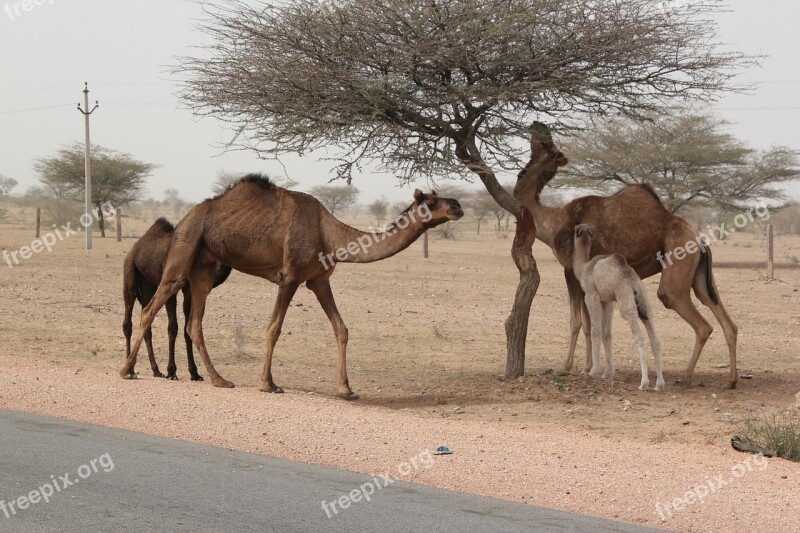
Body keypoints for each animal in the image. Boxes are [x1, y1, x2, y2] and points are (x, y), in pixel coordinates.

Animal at [121, 218, 231, 380]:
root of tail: (135, 247)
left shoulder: (189, 290)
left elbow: (187, 330)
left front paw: (194, 373)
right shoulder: (171, 287)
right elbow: (173, 328)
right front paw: (172, 371)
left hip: (148, 284)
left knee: (146, 322)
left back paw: (156, 370)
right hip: (130, 274)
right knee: (127, 322)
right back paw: (130, 370)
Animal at [572, 223, 664, 390]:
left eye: (574, 230)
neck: (583, 268)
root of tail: (634, 283)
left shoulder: (592, 295)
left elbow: (596, 331)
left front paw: (593, 371)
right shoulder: (607, 300)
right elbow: (607, 333)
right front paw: (608, 373)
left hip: (626, 302)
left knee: (639, 337)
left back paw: (644, 383)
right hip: (644, 302)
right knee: (655, 338)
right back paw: (659, 384)